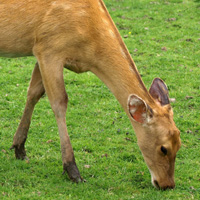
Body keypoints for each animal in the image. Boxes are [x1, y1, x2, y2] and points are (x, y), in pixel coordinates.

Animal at [0, 0, 181, 189]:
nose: (167, 184)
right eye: (163, 148)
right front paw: (72, 171)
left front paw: (19, 148)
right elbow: (59, 102)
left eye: (179, 143)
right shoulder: (48, 49)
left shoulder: (40, 53)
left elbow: (34, 93)